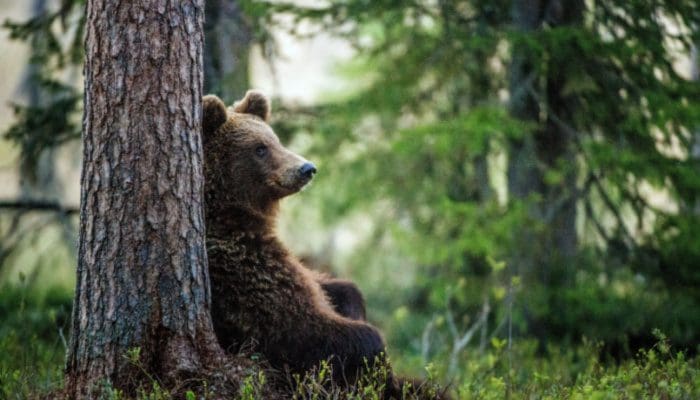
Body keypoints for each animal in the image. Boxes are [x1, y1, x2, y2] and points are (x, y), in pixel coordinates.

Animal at [201, 91, 388, 384]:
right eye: (260, 148)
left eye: (275, 139)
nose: (307, 168)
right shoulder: (244, 275)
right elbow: (302, 328)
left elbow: (335, 287)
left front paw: (352, 302)